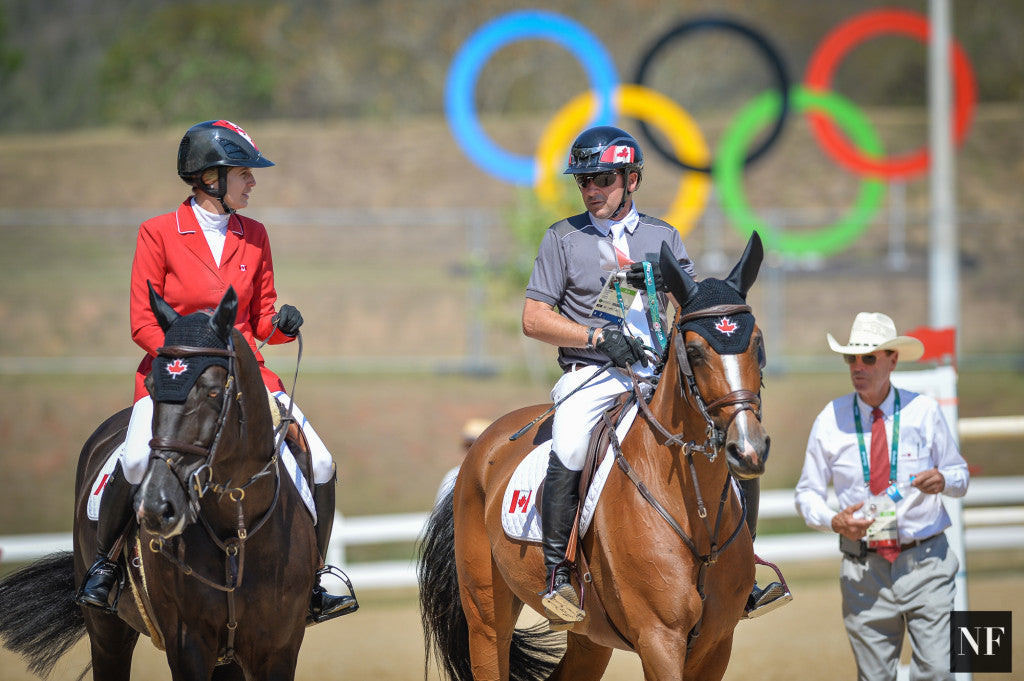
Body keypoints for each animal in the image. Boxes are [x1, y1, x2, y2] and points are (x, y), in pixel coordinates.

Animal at [0, 284, 319, 675]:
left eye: (214, 390)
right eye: (152, 385)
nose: (156, 505)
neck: (235, 527)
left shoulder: (278, 650)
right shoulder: (188, 646)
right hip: (107, 634)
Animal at [417, 231, 770, 675]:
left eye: (757, 344)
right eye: (695, 352)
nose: (748, 449)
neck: (695, 510)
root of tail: (483, 448)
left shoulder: (716, 642)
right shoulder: (659, 638)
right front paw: (618, 343)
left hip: (592, 637)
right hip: (485, 616)